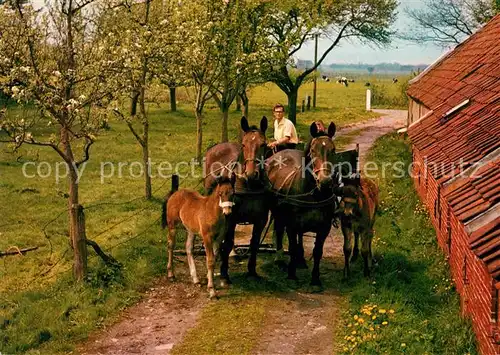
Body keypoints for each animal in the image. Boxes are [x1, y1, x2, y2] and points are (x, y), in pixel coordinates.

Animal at [204, 117, 274, 286]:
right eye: (243, 144)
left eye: (263, 144)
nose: (251, 173)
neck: (249, 185)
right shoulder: (231, 217)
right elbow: (228, 242)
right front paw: (224, 274)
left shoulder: (261, 219)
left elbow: (254, 243)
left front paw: (252, 271)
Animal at [266, 122, 340, 290]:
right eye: (313, 151)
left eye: (333, 150)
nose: (325, 182)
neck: (314, 194)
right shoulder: (291, 225)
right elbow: (292, 247)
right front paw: (292, 276)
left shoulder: (324, 227)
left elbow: (318, 251)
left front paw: (315, 280)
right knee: (279, 231)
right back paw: (280, 258)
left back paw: (300, 260)